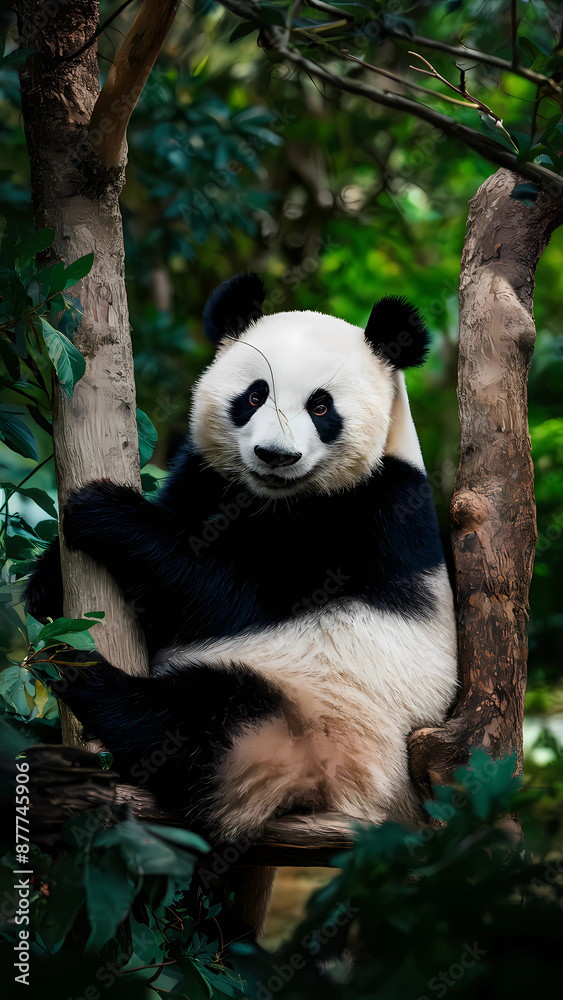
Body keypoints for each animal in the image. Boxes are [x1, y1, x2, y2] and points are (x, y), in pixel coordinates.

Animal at [26, 273, 458, 928]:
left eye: (321, 407)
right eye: (255, 395)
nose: (276, 456)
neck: (273, 499)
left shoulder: (372, 514)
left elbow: (234, 600)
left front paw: (107, 515)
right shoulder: (206, 479)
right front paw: (45, 580)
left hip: (324, 730)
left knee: (210, 725)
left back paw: (82, 676)